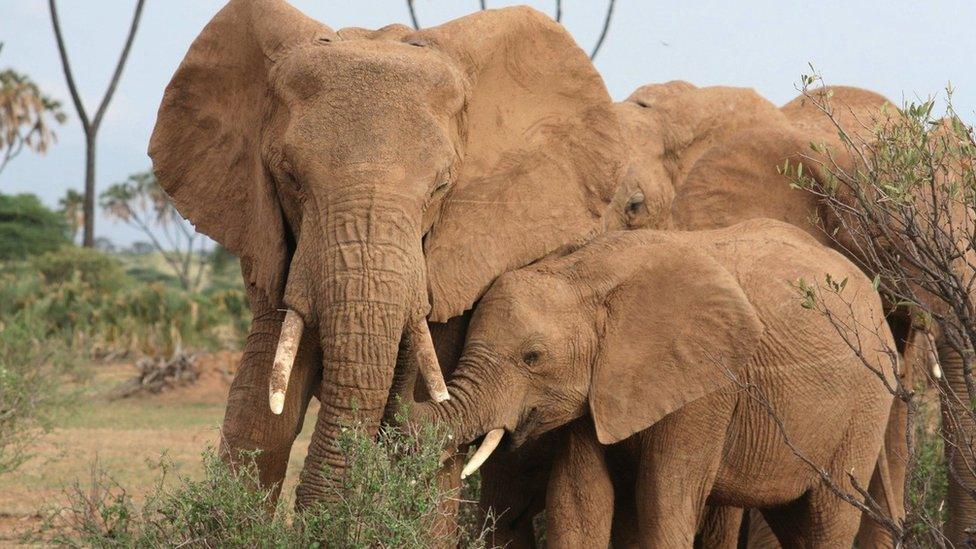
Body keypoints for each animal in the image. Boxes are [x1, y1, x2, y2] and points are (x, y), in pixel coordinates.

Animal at [416, 219, 896, 548]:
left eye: (532, 357)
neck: (583, 273)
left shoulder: (709, 384)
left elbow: (665, 502)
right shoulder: (599, 390)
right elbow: (578, 500)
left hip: (867, 407)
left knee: (826, 519)